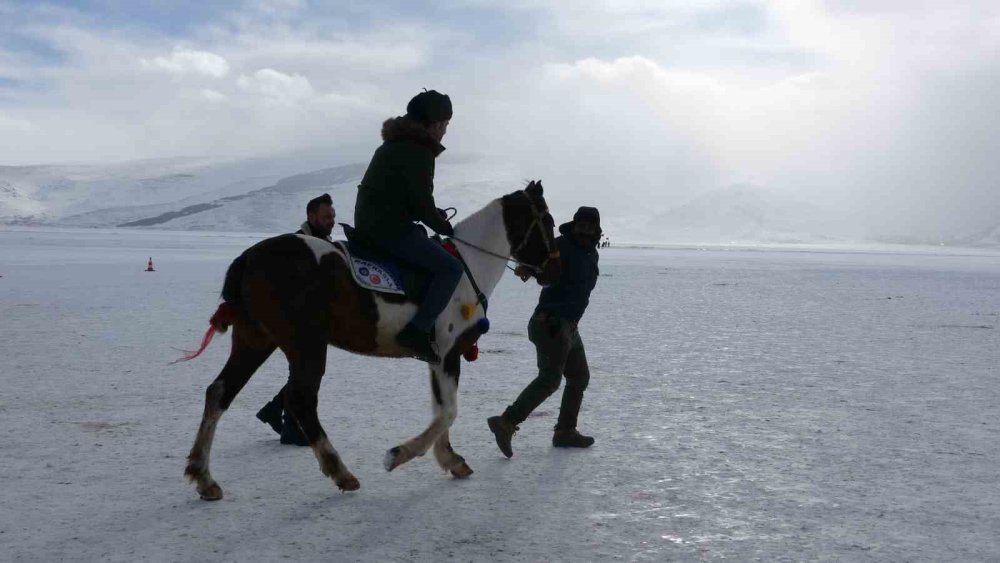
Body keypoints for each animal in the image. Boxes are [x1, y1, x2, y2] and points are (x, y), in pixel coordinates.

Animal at [178, 182, 556, 502]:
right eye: (549, 222)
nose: (556, 268)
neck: (467, 265)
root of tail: (249, 258)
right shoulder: (449, 352)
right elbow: (448, 411)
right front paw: (398, 455)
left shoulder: (437, 357)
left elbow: (441, 410)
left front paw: (450, 459)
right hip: (306, 344)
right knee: (300, 401)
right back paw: (340, 472)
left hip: (255, 339)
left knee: (220, 392)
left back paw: (203, 476)